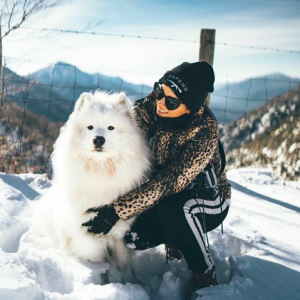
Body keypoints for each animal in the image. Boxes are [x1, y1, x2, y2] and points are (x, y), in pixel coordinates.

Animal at [27, 92, 151, 274]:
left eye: (111, 128)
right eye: (90, 127)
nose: (98, 139)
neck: (100, 172)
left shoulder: (119, 232)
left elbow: (123, 263)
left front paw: (127, 278)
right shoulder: (86, 233)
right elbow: (95, 259)